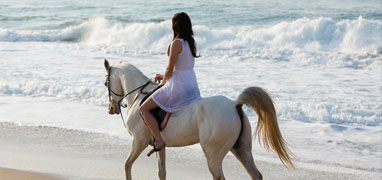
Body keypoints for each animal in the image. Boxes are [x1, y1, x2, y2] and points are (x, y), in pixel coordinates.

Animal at [103, 60, 294, 180]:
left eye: (106, 84)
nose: (112, 109)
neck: (139, 95)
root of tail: (235, 104)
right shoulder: (160, 146)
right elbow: (161, 172)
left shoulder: (138, 141)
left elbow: (127, 165)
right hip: (241, 150)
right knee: (255, 174)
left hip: (213, 155)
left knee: (219, 177)